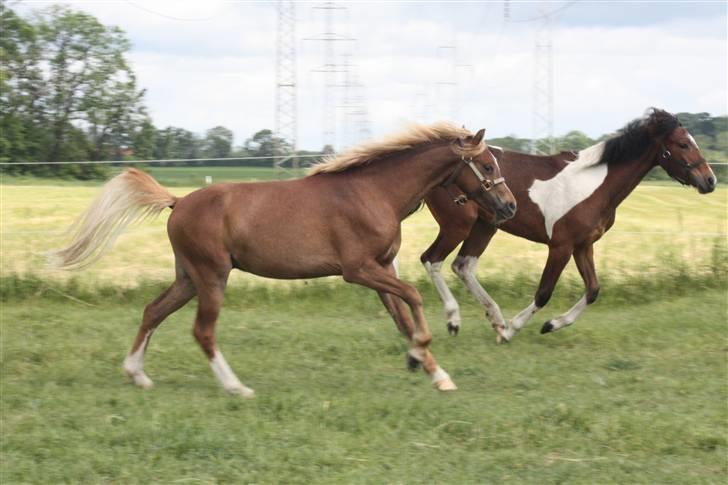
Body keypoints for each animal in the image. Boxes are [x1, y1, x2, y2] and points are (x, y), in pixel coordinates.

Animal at [49, 123, 516, 396]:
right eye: (488, 164)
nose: (510, 206)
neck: (373, 193)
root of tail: (177, 201)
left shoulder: (381, 269)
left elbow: (401, 317)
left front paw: (434, 372)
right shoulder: (359, 271)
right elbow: (414, 300)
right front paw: (421, 352)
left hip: (188, 277)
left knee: (153, 311)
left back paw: (137, 373)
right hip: (212, 276)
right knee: (202, 331)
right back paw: (236, 387)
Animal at [420, 109, 716, 342]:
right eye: (683, 144)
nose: (710, 180)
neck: (595, 184)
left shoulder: (583, 245)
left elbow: (593, 290)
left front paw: (550, 325)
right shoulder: (560, 246)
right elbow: (544, 293)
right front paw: (513, 330)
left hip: (486, 226)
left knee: (463, 266)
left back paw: (496, 319)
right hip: (459, 225)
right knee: (432, 259)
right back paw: (456, 321)